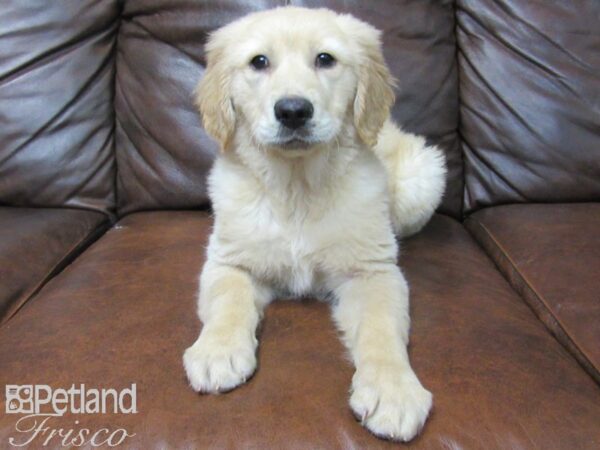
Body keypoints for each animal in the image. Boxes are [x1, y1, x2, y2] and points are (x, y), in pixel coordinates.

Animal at [183, 6, 446, 442]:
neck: (297, 188)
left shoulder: (372, 270)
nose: (293, 111)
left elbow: (381, 328)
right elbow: (228, 301)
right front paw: (217, 351)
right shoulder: (229, 260)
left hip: (422, 175)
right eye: (259, 62)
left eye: (325, 59)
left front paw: (392, 390)